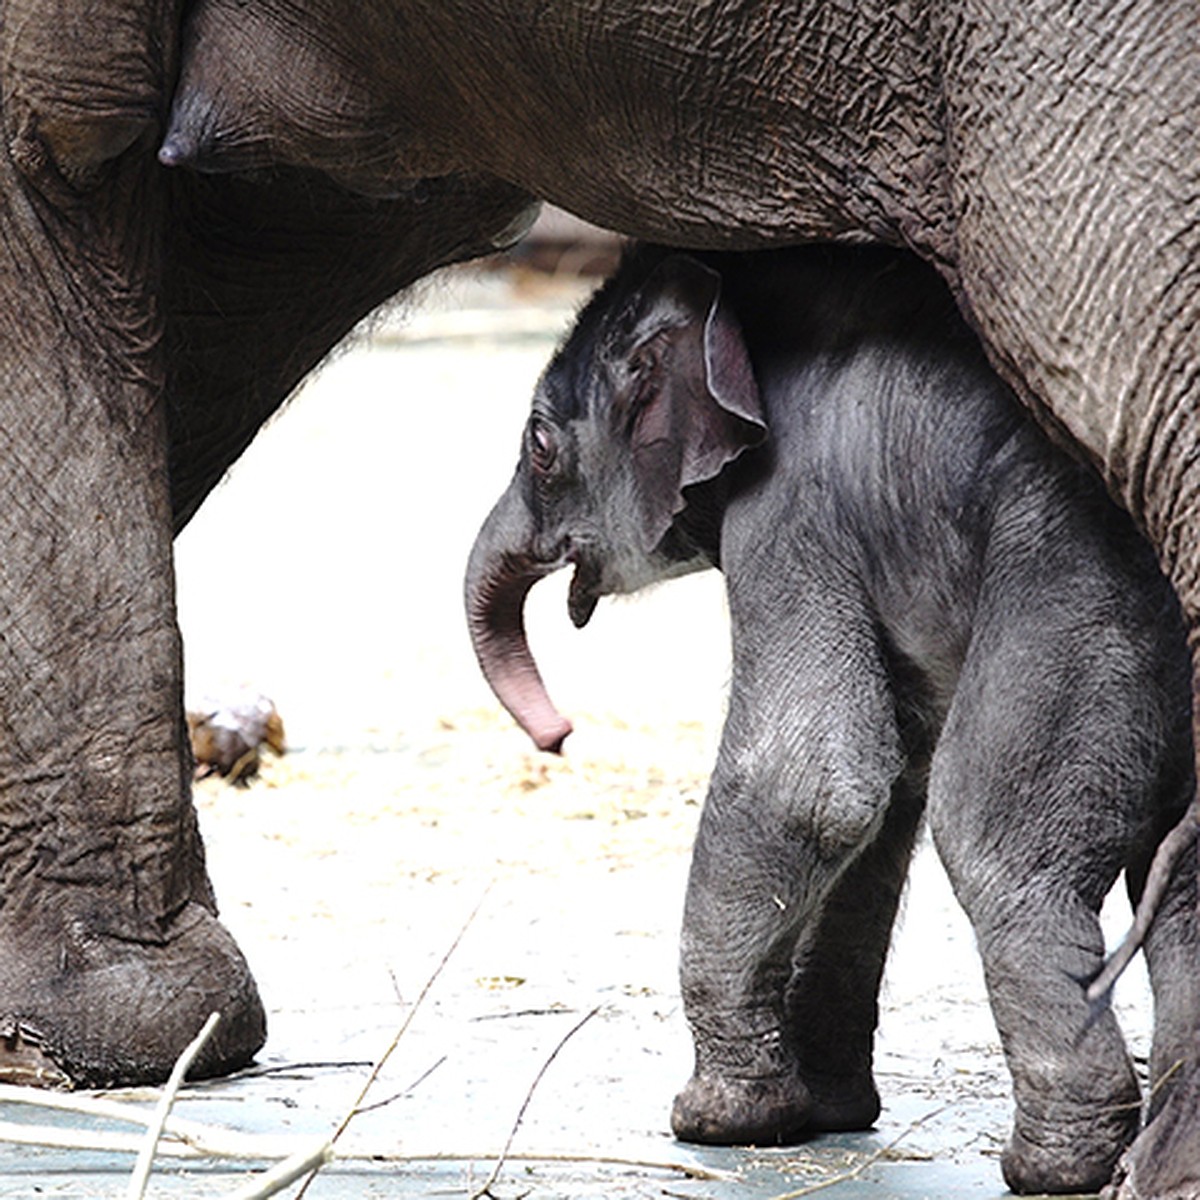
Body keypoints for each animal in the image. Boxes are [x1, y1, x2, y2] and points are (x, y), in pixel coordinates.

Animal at [463, 241, 1195, 1190]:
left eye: (540, 446)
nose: (559, 737)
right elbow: (882, 796)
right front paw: (829, 1113)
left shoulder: (789, 513)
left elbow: (809, 785)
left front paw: (719, 1124)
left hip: (1076, 617)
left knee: (994, 843)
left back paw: (1056, 1167)